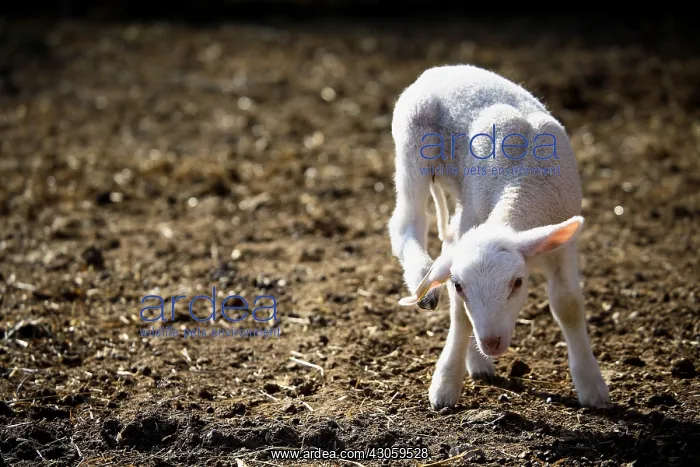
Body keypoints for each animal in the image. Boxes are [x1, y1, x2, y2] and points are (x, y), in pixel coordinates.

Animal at [387, 64, 610, 410]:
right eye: (460, 285)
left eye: (517, 283)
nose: (491, 343)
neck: (524, 184)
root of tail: (442, 69)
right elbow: (461, 316)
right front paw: (446, 384)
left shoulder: (563, 247)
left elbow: (568, 305)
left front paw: (592, 386)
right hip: (412, 147)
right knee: (406, 222)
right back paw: (423, 278)